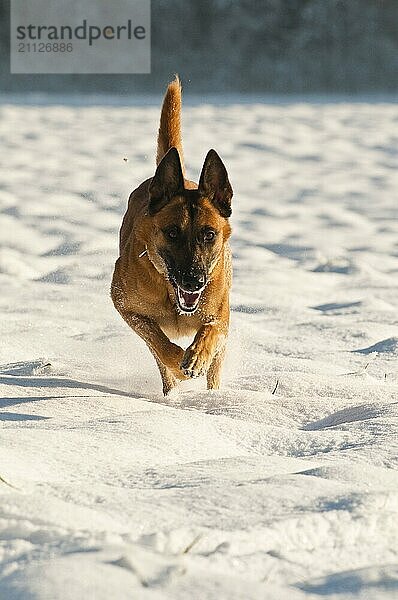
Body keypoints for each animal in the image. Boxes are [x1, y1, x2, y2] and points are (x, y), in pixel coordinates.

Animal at [110, 75, 232, 396]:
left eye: (209, 234)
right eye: (173, 233)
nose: (193, 280)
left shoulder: (220, 312)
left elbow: (212, 330)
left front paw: (197, 356)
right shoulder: (125, 304)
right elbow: (157, 341)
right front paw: (179, 363)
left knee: (216, 364)